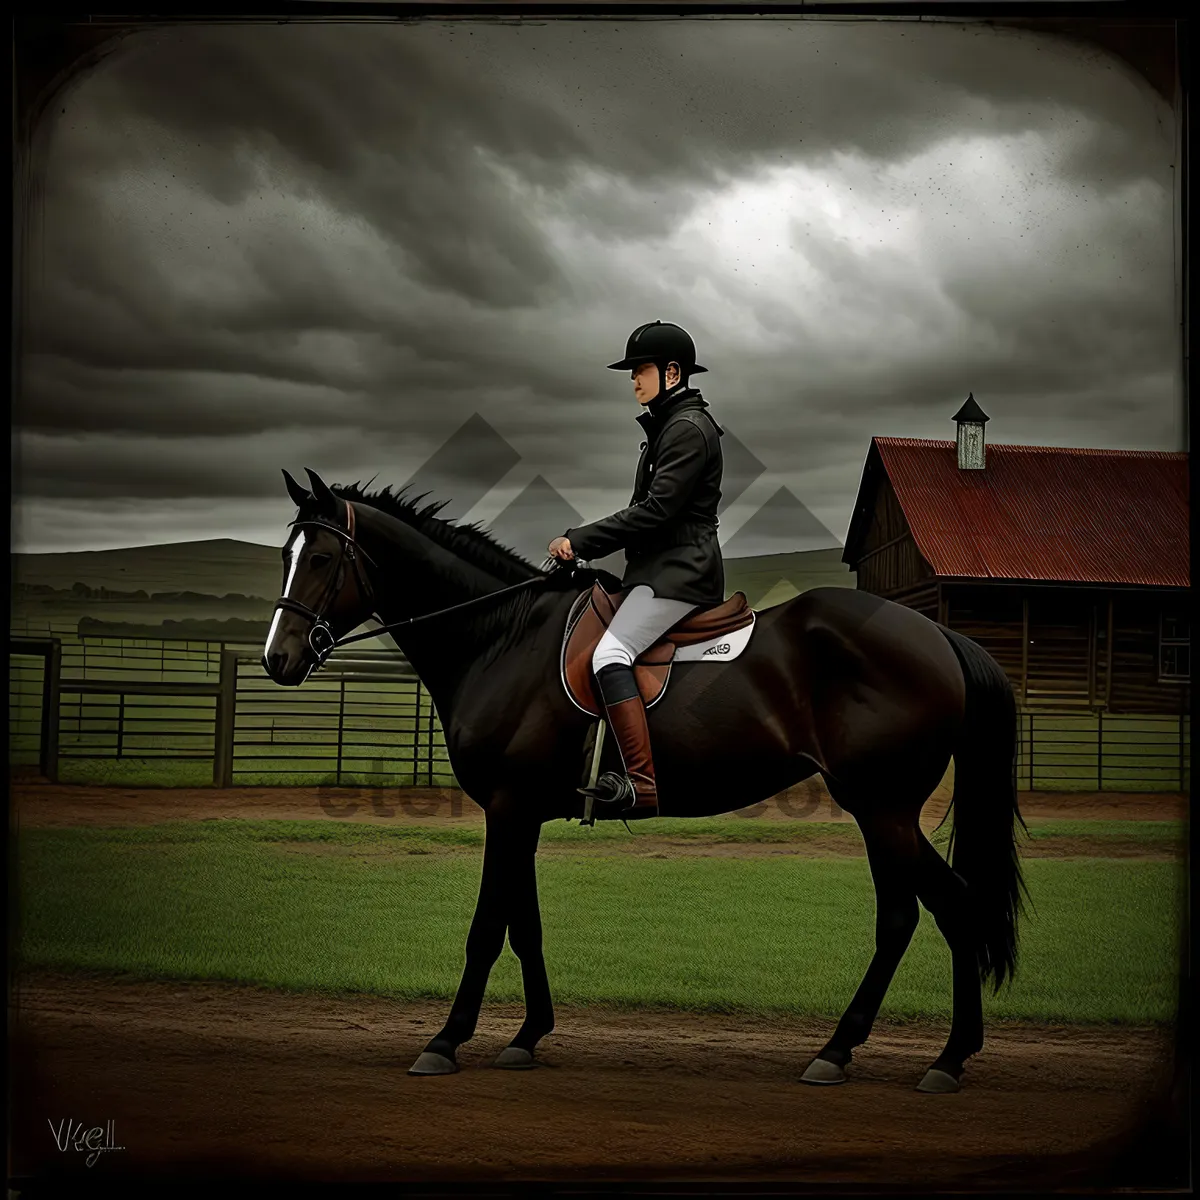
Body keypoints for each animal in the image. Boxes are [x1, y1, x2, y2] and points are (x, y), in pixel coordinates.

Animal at [265, 468, 1032, 1099]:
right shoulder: (523, 814)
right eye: (286, 556)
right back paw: (932, 1055)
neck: (501, 636)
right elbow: (525, 926)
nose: (278, 659)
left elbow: (487, 928)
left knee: (918, 913)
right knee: (945, 907)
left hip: (882, 808)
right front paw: (527, 1036)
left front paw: (446, 1040)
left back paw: (874, 1054)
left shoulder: (506, 809)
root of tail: (938, 637)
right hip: (884, 810)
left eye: (323, 559)